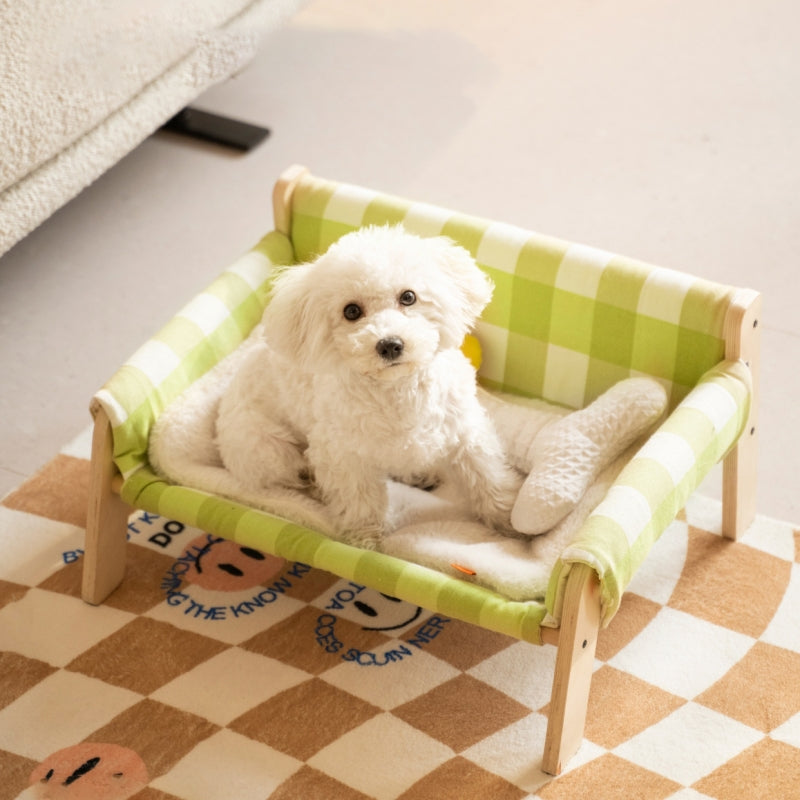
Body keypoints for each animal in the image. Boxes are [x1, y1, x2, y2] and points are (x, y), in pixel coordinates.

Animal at [216, 225, 520, 552]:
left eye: (408, 296)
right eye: (351, 311)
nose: (390, 345)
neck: (398, 389)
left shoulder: (465, 431)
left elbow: (488, 477)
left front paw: (508, 522)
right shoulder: (344, 456)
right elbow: (359, 500)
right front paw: (364, 540)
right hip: (268, 451)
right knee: (294, 476)